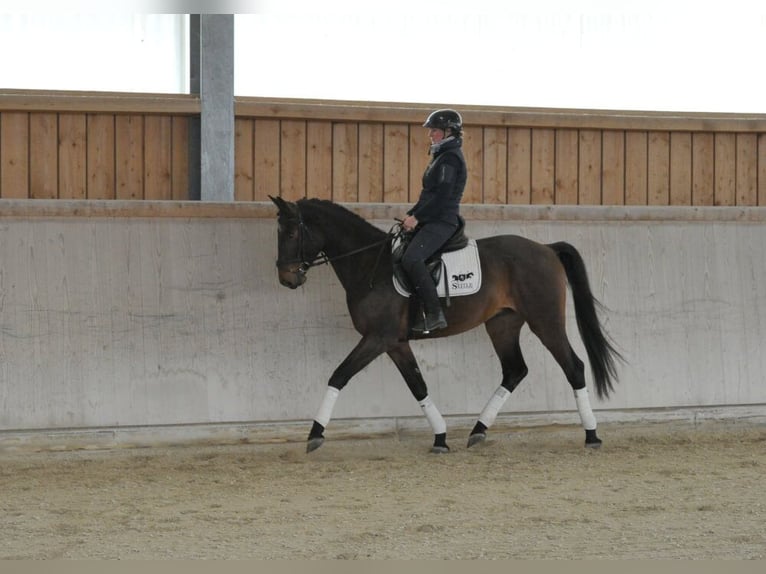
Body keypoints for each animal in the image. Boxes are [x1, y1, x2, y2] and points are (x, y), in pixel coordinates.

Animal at [269, 196, 623, 454]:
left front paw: (315, 434)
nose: (286, 278)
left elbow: (339, 375)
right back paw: (478, 431)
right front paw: (440, 437)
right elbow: (418, 386)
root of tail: (546, 249)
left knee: (574, 367)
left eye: (291, 233)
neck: (371, 265)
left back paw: (592, 436)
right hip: (502, 325)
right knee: (515, 370)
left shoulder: (378, 338)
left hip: (545, 321)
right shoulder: (396, 343)